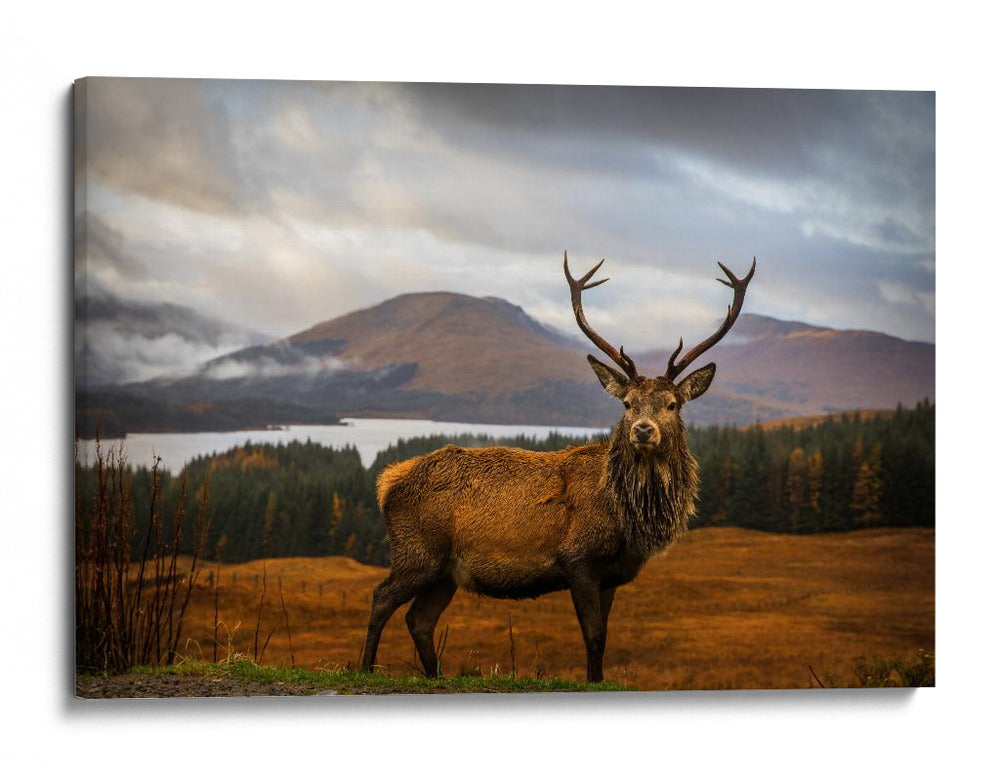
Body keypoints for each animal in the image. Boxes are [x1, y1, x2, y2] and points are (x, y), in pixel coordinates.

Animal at [360, 251, 755, 682]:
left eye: (672, 404)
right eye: (627, 403)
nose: (643, 430)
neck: (626, 518)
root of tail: (387, 481)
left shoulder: (612, 574)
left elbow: (605, 636)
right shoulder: (577, 558)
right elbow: (593, 635)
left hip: (445, 572)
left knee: (419, 619)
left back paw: (434, 676)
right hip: (417, 550)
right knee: (381, 597)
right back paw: (365, 668)